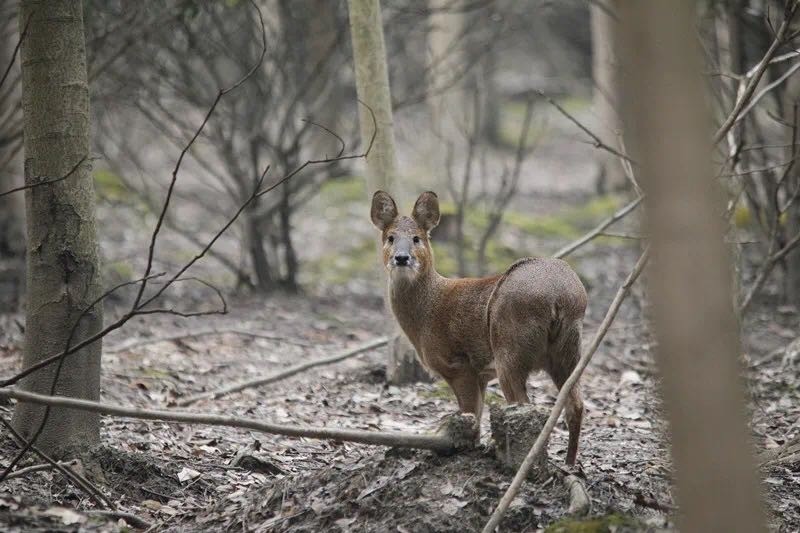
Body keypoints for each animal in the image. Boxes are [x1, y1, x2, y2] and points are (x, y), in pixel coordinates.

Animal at [370, 189, 588, 464]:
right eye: (390, 237)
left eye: (417, 238)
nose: (401, 257)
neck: (427, 311)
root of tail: (560, 297)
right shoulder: (480, 373)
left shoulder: (458, 364)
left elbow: (470, 415)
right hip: (568, 349)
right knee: (575, 405)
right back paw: (569, 464)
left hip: (510, 346)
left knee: (525, 405)